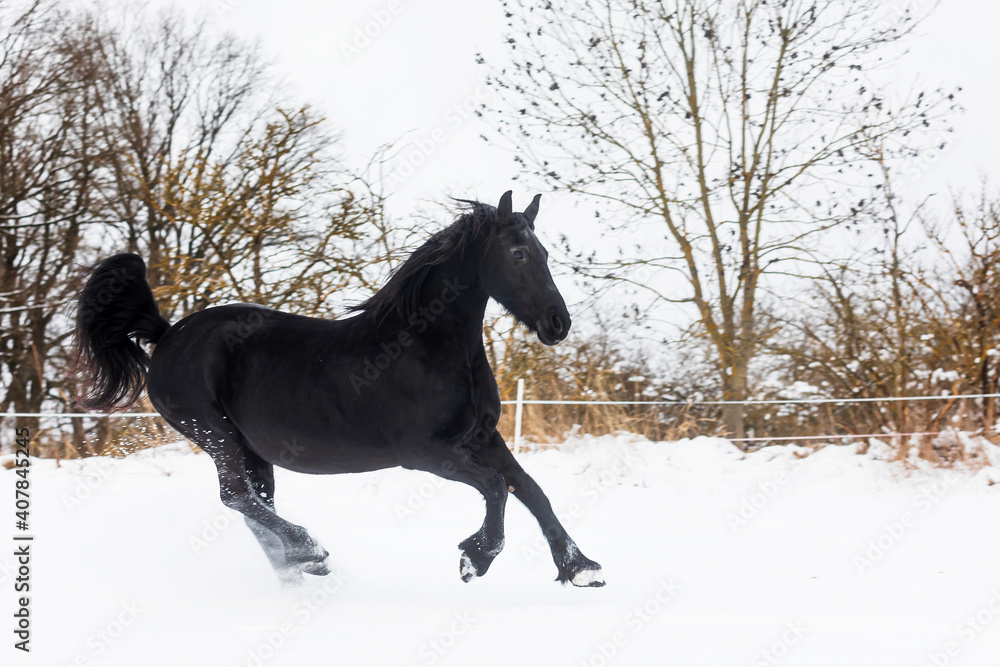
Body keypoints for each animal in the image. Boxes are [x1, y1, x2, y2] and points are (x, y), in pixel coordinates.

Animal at [73, 191, 605, 588]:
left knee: (253, 506)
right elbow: (497, 487)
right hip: (214, 433)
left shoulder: (482, 438)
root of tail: (165, 335)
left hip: (250, 448)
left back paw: (299, 570)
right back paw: (311, 552)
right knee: (237, 498)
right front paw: (475, 558)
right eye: (518, 253)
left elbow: (531, 489)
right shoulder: (426, 453)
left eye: (545, 253)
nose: (558, 324)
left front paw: (581, 568)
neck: (429, 347)